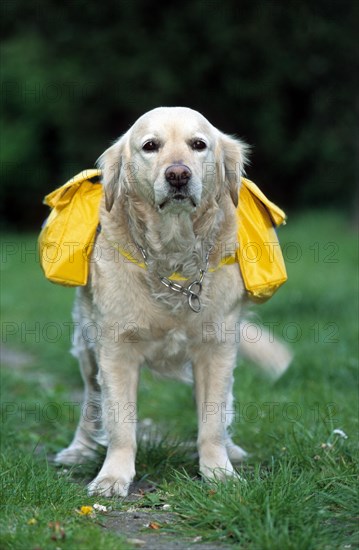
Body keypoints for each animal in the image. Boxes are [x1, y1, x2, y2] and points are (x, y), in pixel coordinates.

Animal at [55, 108, 292, 500]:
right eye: (150, 146)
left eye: (198, 144)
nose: (178, 174)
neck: (173, 259)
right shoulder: (115, 349)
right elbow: (120, 423)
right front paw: (112, 478)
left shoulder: (216, 347)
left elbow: (212, 421)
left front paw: (219, 472)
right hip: (87, 346)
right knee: (91, 400)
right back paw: (80, 450)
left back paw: (231, 450)